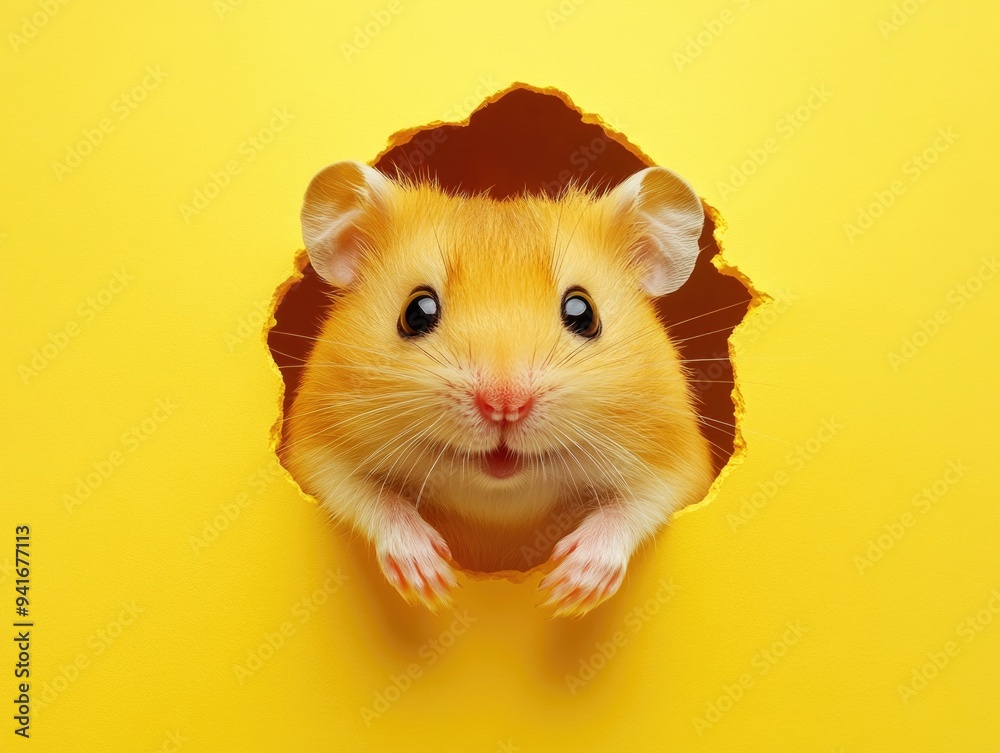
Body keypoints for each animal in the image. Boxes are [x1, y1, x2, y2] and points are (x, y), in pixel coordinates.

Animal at [279, 160, 713, 617]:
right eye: (416, 312)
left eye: (584, 313)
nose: (505, 405)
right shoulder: (316, 450)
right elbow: (367, 496)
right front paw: (431, 582)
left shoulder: (678, 463)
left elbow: (638, 505)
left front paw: (568, 591)